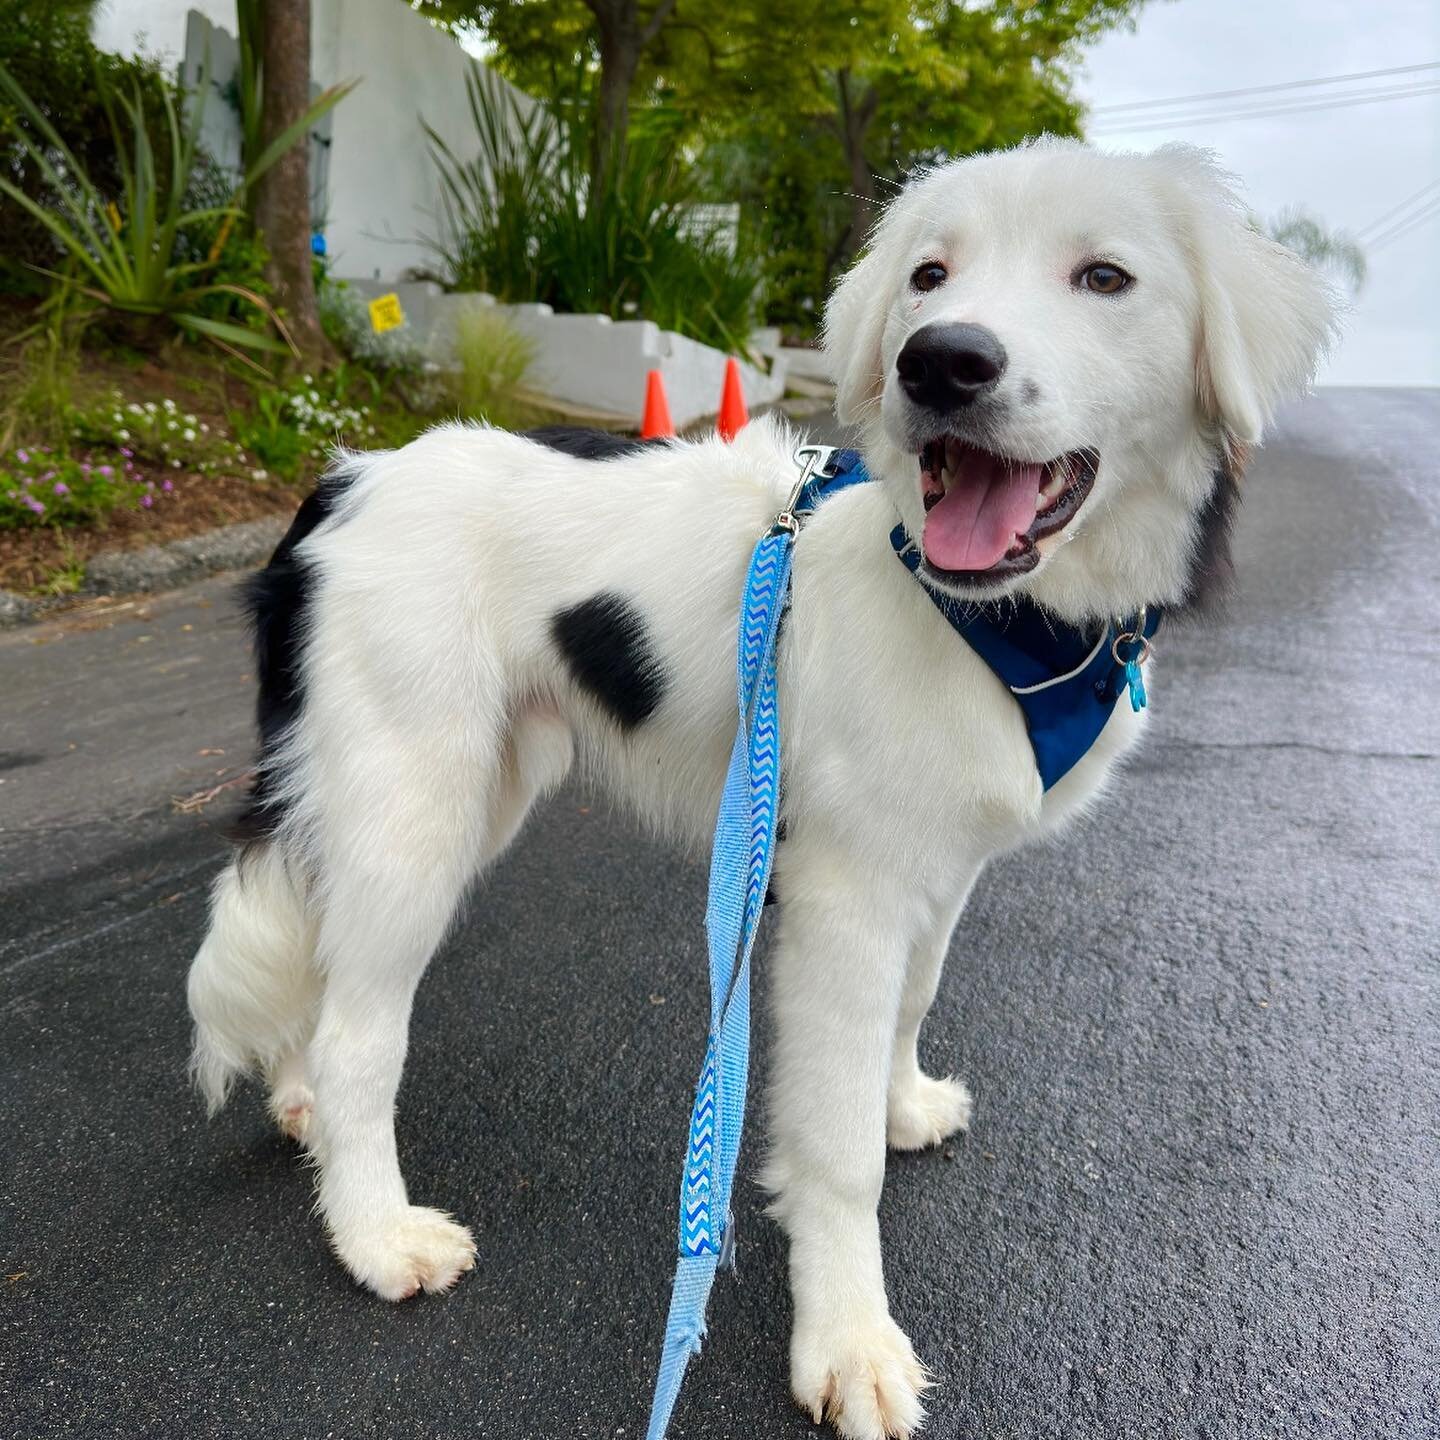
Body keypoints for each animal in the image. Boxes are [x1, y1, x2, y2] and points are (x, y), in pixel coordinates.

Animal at [188, 137, 1336, 1440]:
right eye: (930, 275)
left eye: (1106, 278)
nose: (938, 362)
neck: (999, 622)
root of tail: (348, 475)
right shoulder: (845, 902)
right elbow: (835, 1153)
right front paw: (848, 1342)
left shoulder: (934, 872)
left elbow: (911, 1004)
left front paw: (900, 1102)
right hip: (414, 809)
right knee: (357, 1032)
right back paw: (376, 1234)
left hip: (454, 789)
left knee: (319, 958)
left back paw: (302, 1114)